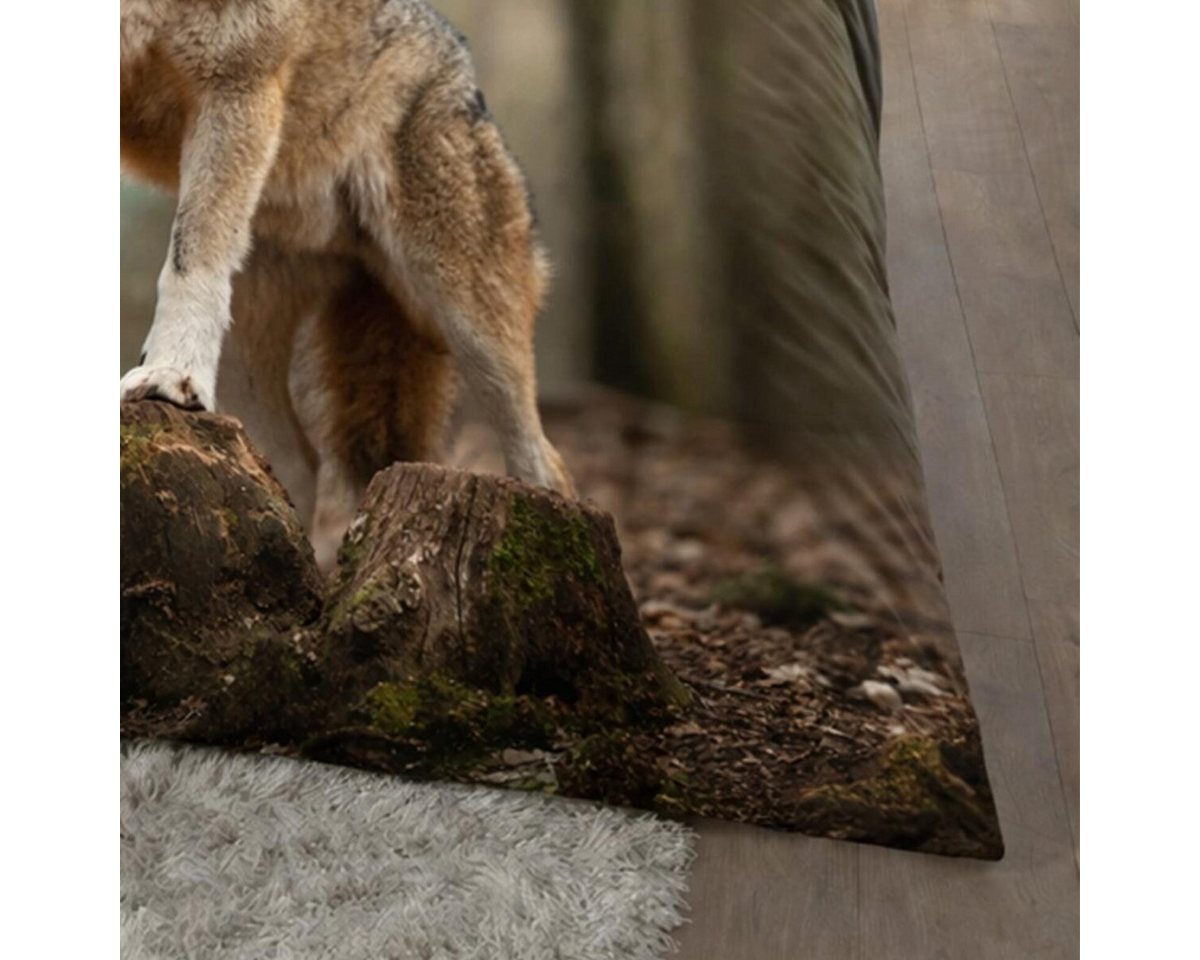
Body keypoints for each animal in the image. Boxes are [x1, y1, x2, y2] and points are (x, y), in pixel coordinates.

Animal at [120, 0, 574, 570]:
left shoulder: (235, 82)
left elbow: (191, 253)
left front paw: (169, 374)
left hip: (469, 327)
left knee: (544, 462)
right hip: (250, 366)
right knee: (295, 470)